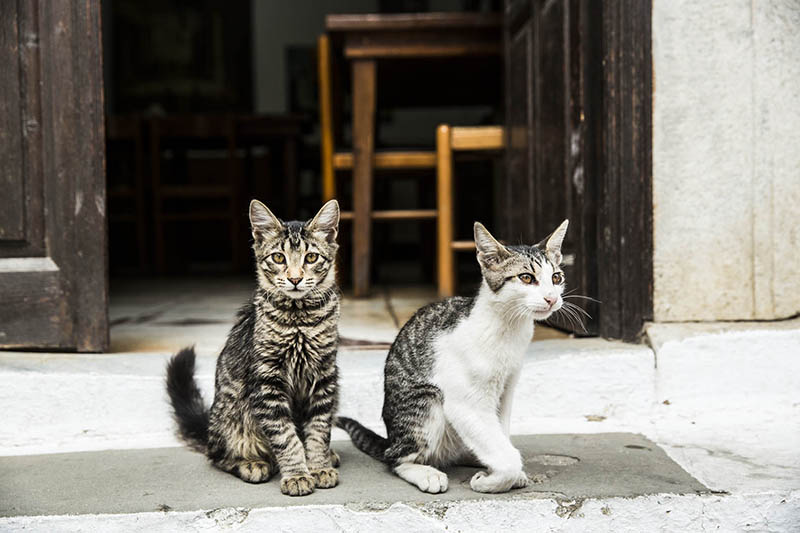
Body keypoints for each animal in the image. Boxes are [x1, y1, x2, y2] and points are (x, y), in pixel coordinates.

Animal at [167, 198, 342, 494]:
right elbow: (286, 437)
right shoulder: (267, 381)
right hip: (233, 418)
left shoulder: (324, 377)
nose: (295, 279)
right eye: (279, 258)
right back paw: (252, 463)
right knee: (217, 457)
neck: (299, 321)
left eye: (311, 258)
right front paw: (297, 475)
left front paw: (319, 466)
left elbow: (319, 430)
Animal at [338, 218, 568, 492]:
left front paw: (498, 473)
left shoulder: (507, 387)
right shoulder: (464, 403)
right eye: (526, 278)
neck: (508, 327)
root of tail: (391, 438)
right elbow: (505, 456)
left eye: (556, 277)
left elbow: (500, 435)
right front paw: (493, 481)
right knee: (395, 458)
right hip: (426, 400)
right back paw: (425, 472)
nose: (552, 298)